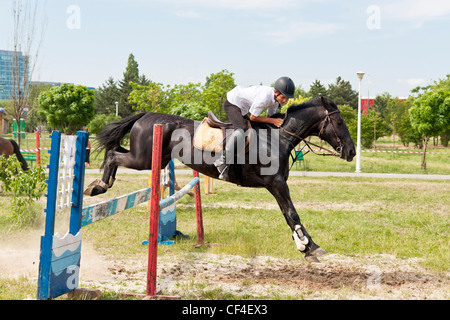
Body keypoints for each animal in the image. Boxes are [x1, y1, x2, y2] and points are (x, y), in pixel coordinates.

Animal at [84, 96, 356, 262]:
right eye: (339, 121)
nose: (352, 152)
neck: (278, 137)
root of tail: (144, 115)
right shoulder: (276, 184)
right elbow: (292, 213)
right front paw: (308, 247)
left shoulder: (277, 185)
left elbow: (288, 214)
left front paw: (305, 244)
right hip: (143, 159)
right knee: (112, 155)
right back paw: (98, 186)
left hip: (154, 160)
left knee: (114, 151)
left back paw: (98, 185)